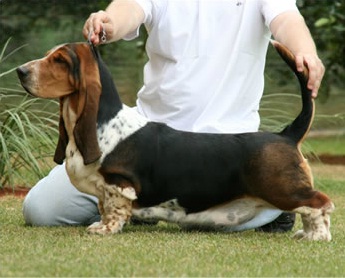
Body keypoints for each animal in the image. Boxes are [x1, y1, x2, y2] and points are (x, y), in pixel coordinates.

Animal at [16, 40, 334, 240]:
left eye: (59, 60)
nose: (20, 71)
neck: (101, 122)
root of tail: (286, 134)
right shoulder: (104, 190)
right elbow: (104, 207)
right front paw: (102, 224)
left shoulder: (119, 184)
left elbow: (115, 210)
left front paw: (105, 230)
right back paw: (307, 233)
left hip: (282, 188)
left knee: (321, 202)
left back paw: (317, 236)